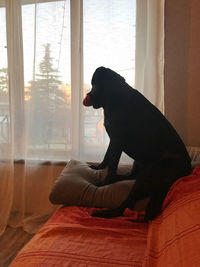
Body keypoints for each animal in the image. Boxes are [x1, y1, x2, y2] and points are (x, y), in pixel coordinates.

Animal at [82, 67, 191, 222]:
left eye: (95, 85)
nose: (87, 95)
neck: (115, 98)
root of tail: (187, 170)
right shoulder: (113, 140)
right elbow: (106, 157)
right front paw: (98, 167)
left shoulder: (117, 141)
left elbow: (112, 165)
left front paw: (104, 183)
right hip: (139, 165)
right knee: (130, 177)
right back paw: (117, 179)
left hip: (148, 176)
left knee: (124, 206)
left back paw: (103, 213)